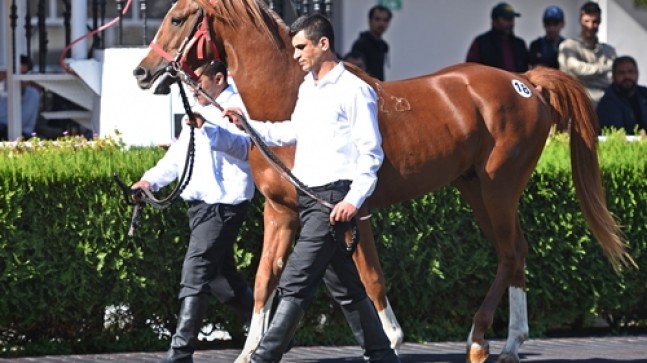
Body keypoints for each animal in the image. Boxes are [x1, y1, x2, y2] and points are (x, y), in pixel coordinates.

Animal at [130, 1, 632, 362]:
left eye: (177, 17)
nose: (141, 71)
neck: (290, 97)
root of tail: (524, 81)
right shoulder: (283, 211)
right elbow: (266, 280)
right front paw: (251, 350)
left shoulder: (351, 209)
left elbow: (369, 277)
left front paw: (391, 339)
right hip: (474, 187)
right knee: (518, 252)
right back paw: (510, 343)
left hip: (499, 187)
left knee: (509, 253)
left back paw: (478, 339)